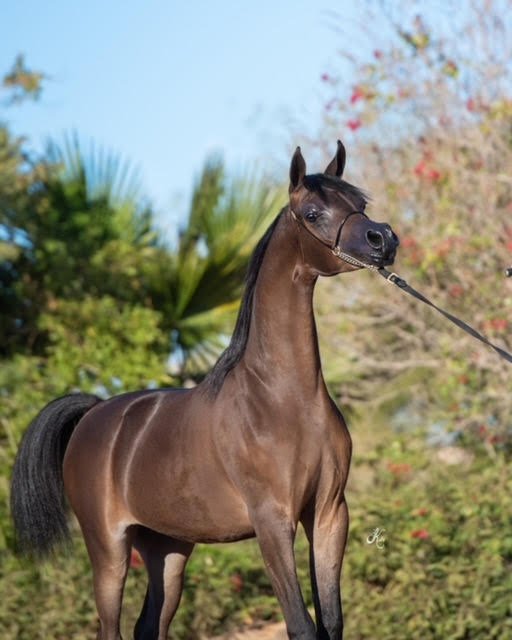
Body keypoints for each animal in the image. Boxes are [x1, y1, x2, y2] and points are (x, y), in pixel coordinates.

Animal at [11, 141, 399, 640]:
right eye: (313, 213)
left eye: (359, 203)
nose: (382, 239)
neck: (284, 399)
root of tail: (94, 414)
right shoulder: (272, 522)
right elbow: (302, 625)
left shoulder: (330, 514)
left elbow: (331, 623)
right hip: (109, 551)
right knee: (110, 627)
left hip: (168, 549)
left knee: (150, 625)